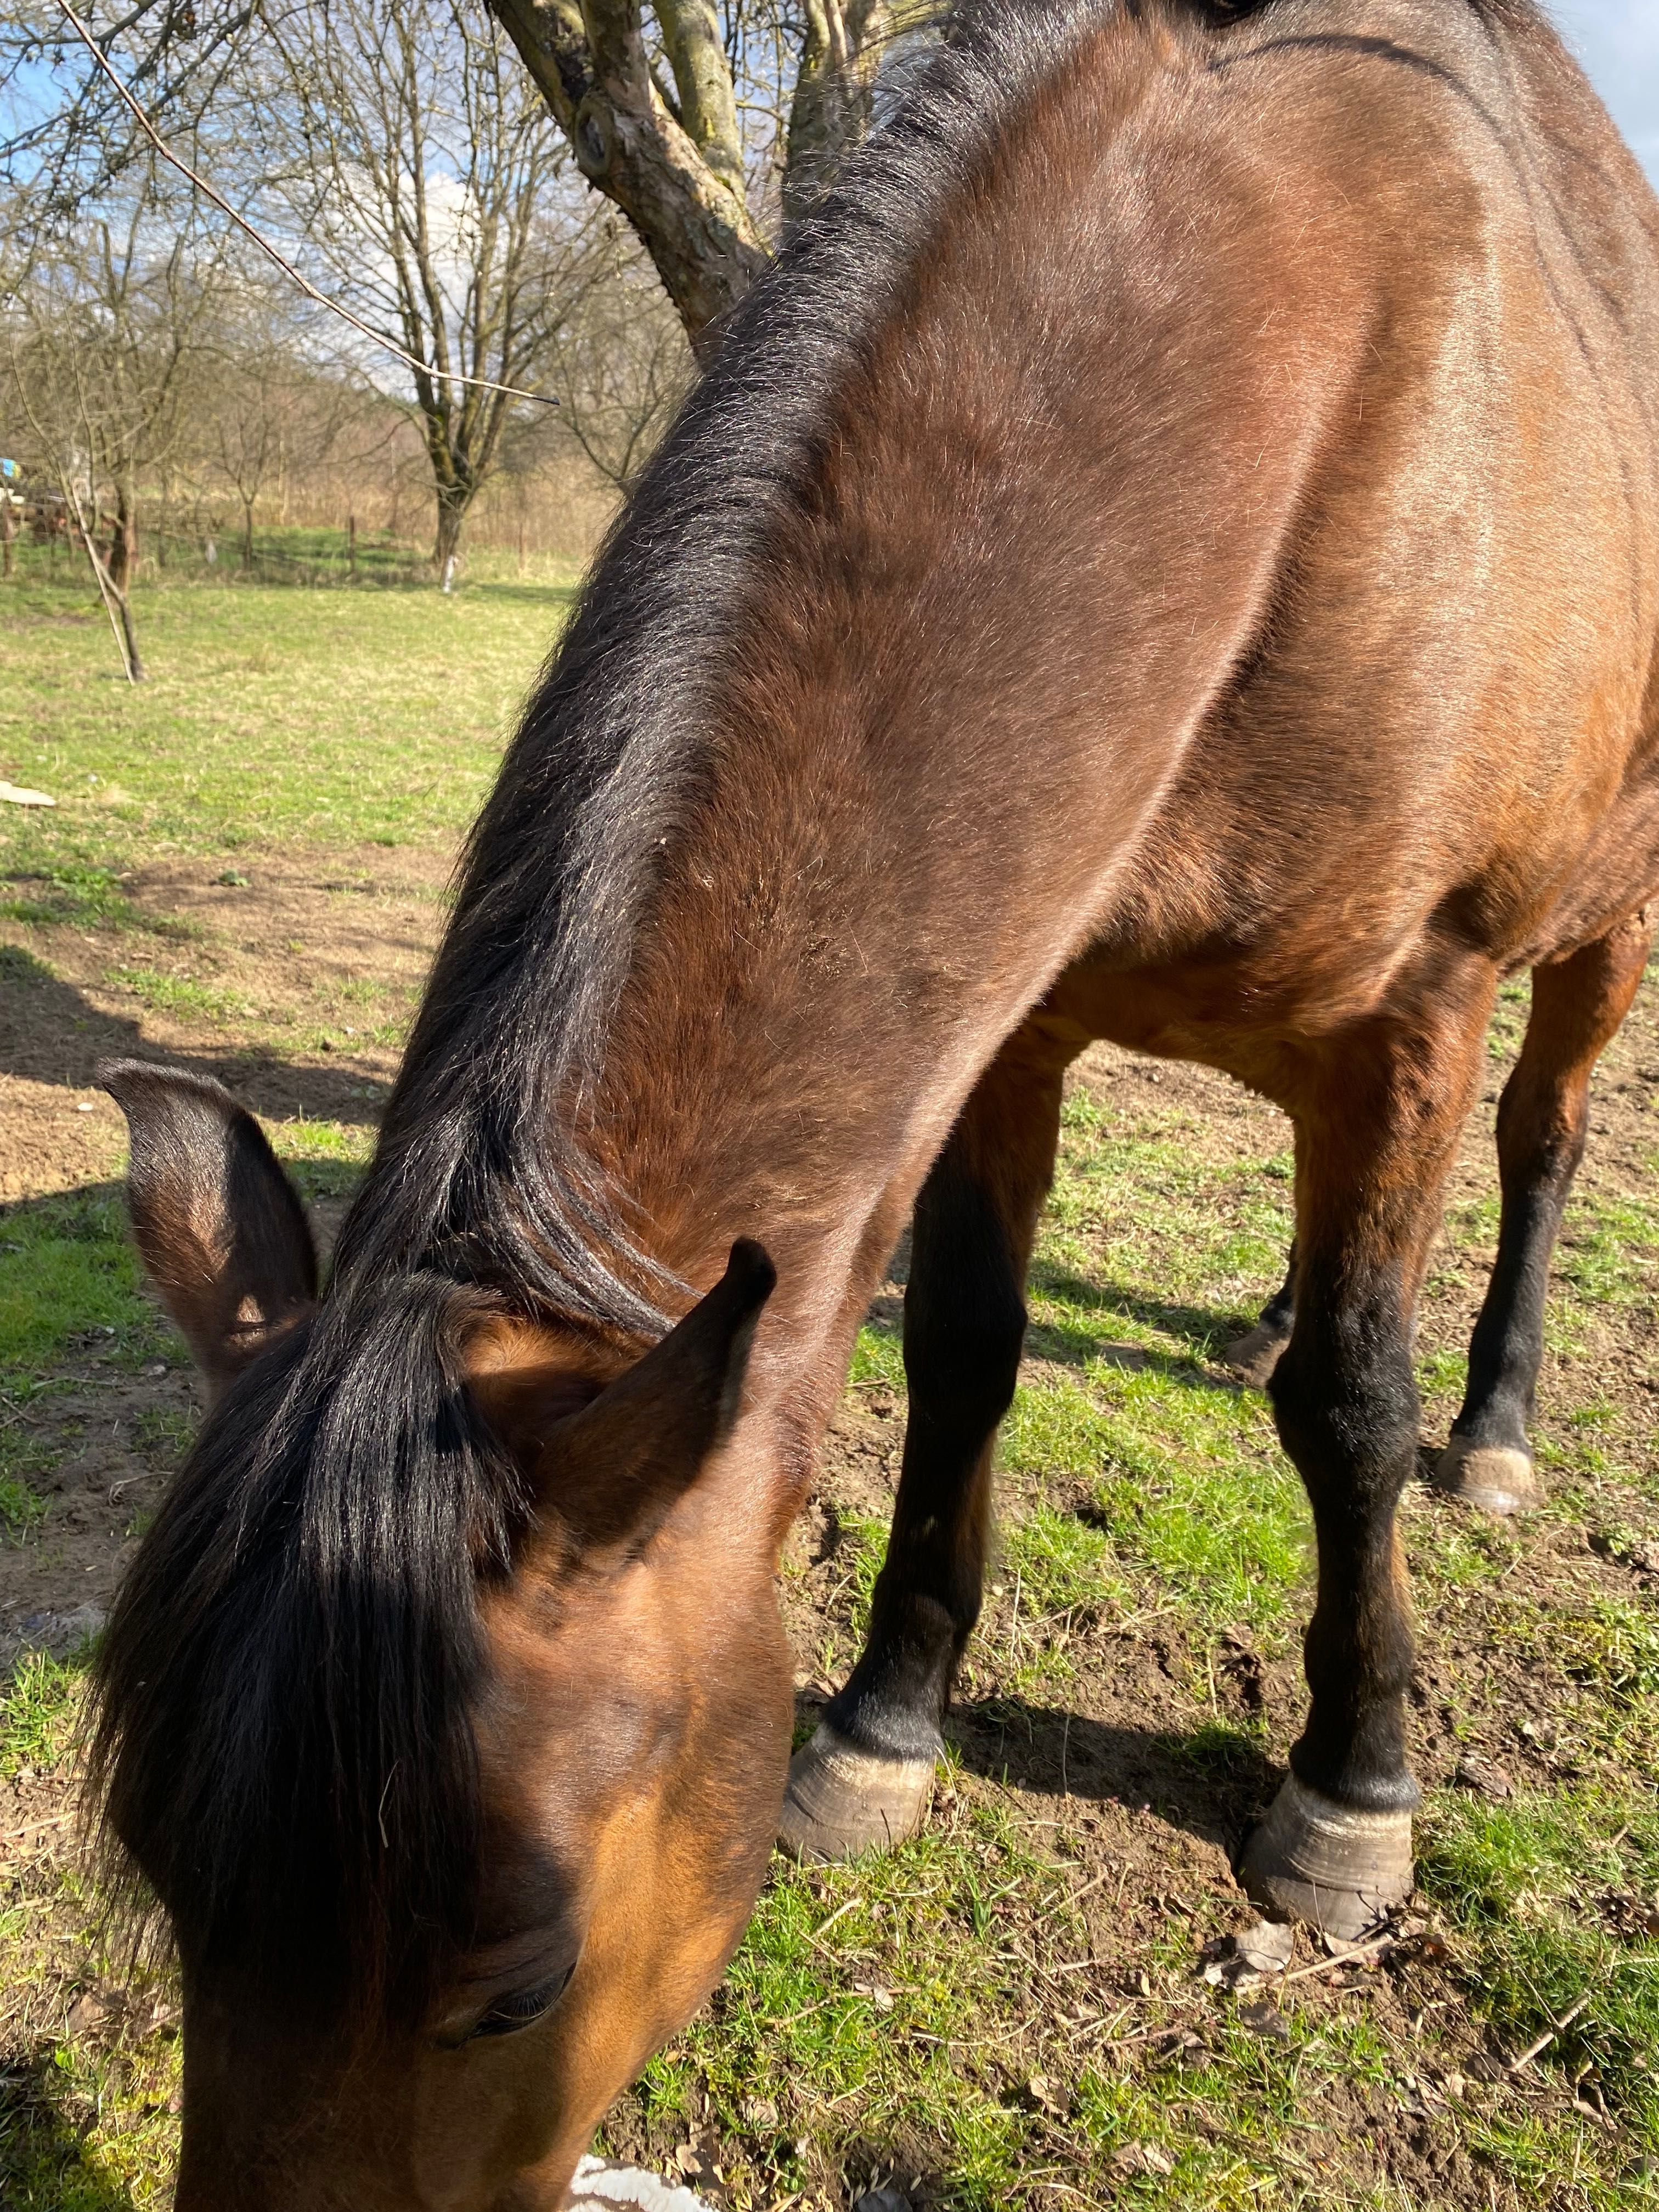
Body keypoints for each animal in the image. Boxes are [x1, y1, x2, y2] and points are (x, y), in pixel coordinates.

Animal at [88, 0, 1659, 2203]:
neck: (1305, 380)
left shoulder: (1411, 1010)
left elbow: (1349, 1410)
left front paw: (1352, 1787)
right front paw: (884, 1721)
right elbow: (967, 1354)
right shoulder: (1012, 1022)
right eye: (160, 1886)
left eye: (514, 1978)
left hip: (1596, 926)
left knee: (1537, 1156)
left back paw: (1494, 1426)